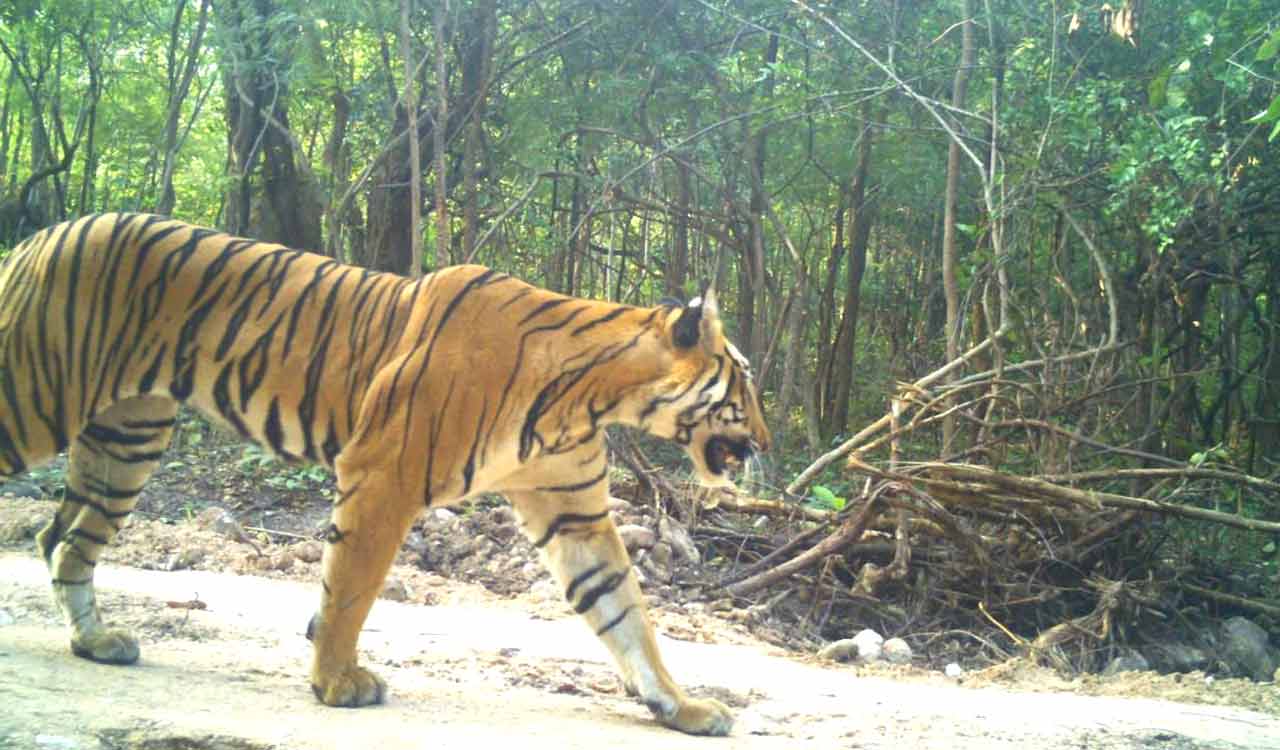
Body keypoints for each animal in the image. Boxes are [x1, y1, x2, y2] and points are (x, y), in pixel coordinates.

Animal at [0, 213, 770, 736]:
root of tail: (39, 236)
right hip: (37, 401)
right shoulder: (382, 474)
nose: (765, 441)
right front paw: (336, 683)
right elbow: (351, 589)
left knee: (62, 541)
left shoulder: (574, 512)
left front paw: (680, 705)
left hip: (127, 438)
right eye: (746, 384)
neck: (593, 397)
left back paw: (96, 643)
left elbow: (624, 610)